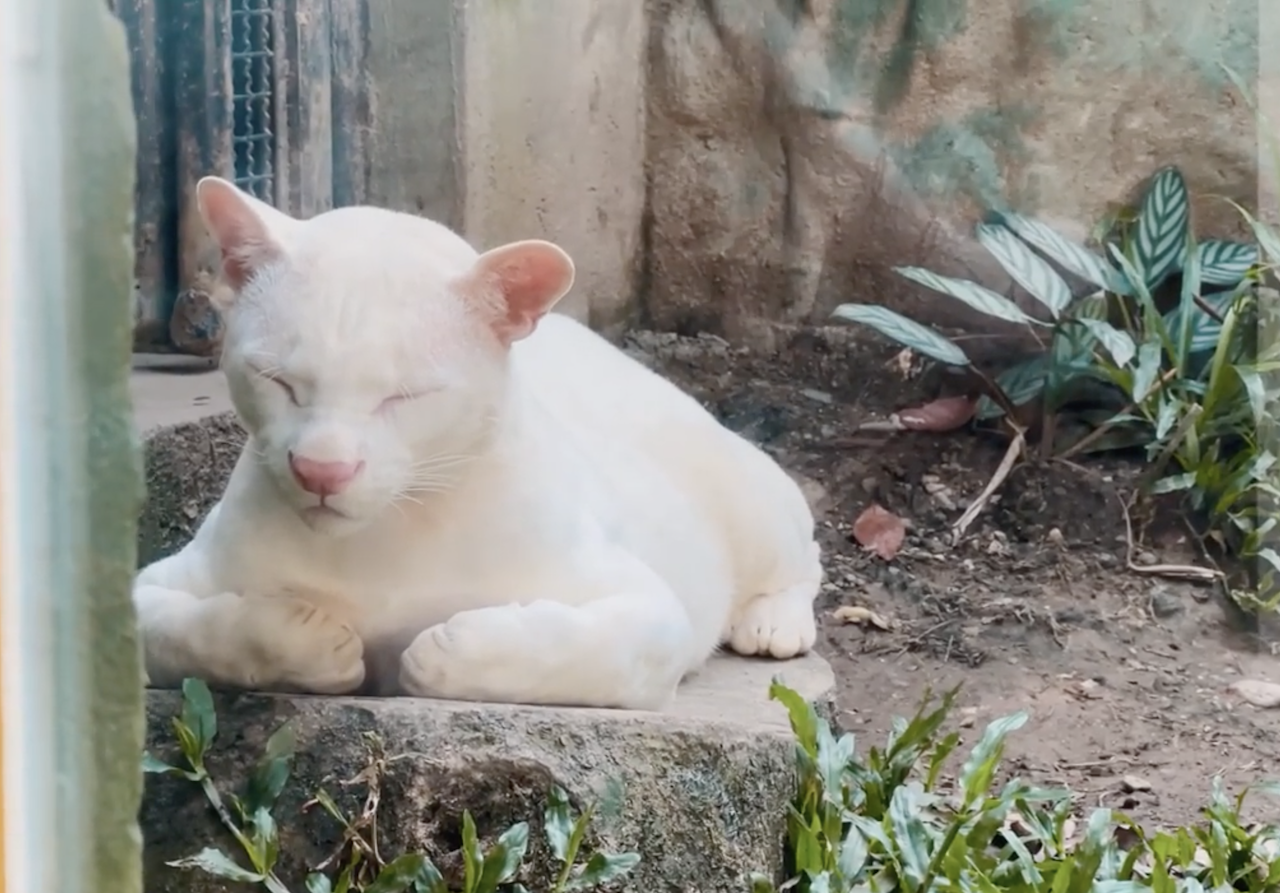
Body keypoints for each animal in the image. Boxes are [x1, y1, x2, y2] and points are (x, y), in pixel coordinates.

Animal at [132, 177, 819, 706]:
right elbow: (185, 632)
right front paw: (307, 639)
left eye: (403, 397)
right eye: (278, 382)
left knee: (803, 550)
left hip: (749, 498)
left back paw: (773, 621)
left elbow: (580, 649)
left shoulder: (650, 607)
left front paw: (439, 650)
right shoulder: (152, 584)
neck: (383, 538)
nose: (322, 471)